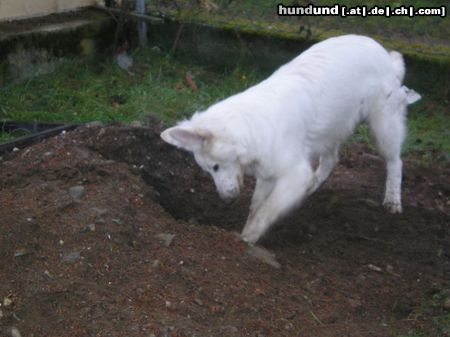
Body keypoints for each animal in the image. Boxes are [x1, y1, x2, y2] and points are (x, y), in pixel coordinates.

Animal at [162, 34, 422, 242]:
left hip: (383, 126)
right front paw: (245, 230)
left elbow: (266, 211)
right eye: (207, 171)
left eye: (215, 167)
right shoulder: (267, 174)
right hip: (332, 128)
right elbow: (256, 207)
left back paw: (392, 200)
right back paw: (313, 186)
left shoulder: (293, 174)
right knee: (331, 160)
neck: (250, 129)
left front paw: (247, 239)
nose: (226, 200)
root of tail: (384, 53)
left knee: (395, 162)